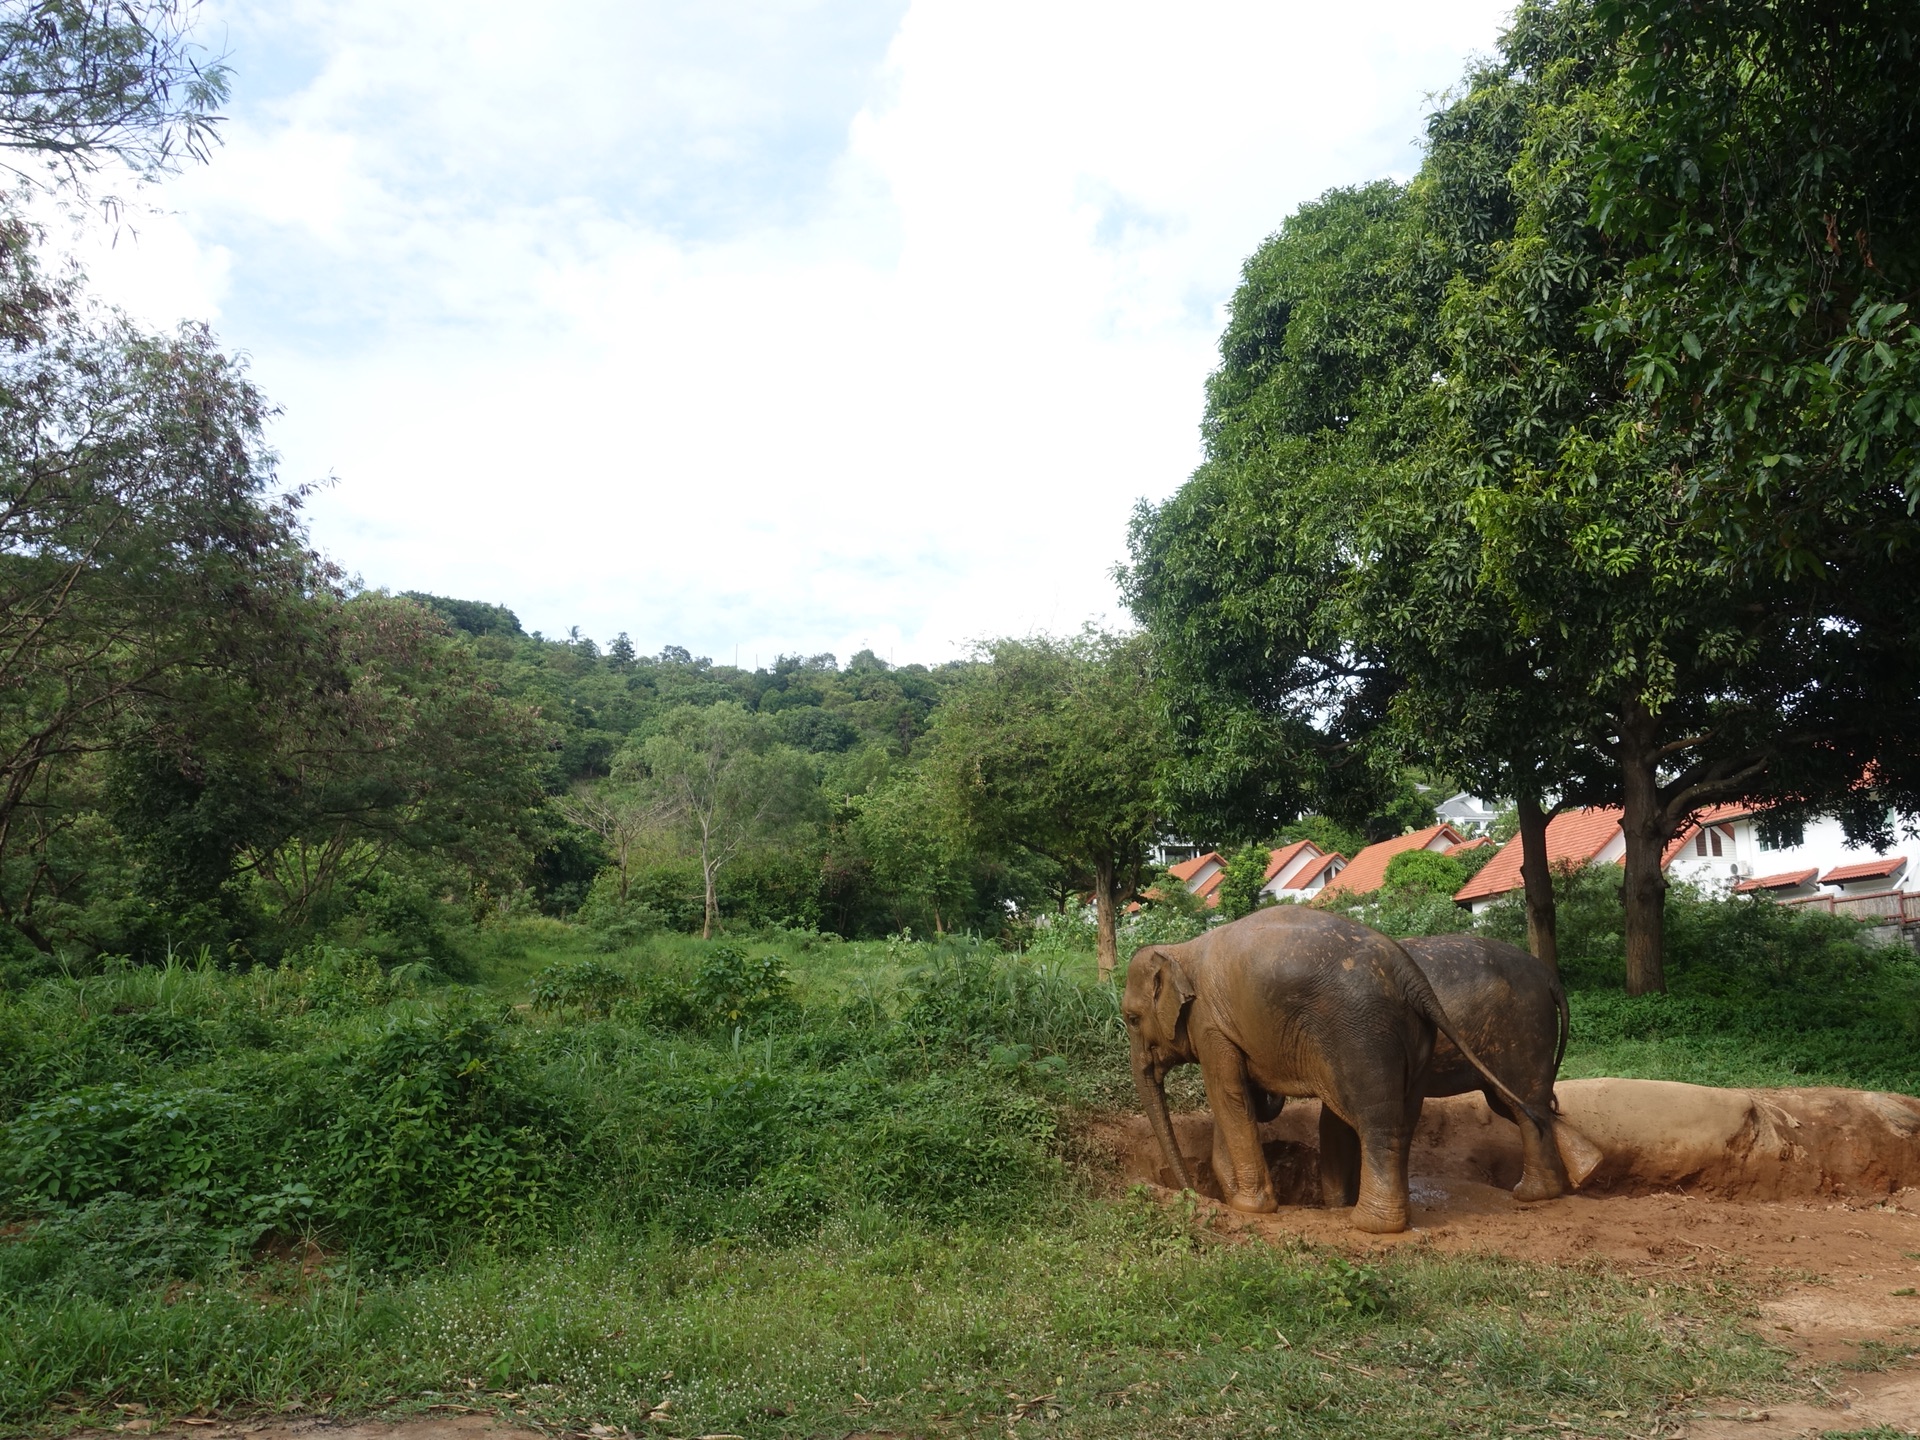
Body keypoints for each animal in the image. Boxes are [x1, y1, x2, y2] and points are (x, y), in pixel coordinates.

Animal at [1121, 906, 1543, 1236]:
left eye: (1131, 1019)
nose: (1189, 1192)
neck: (1180, 951)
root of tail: (1413, 979)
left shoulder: (1210, 1025)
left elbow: (1228, 1094)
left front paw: (1249, 1208)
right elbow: (1236, 1099)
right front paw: (1237, 1198)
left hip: (1363, 1037)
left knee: (1376, 1123)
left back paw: (1371, 1224)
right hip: (1415, 1039)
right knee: (1402, 1120)